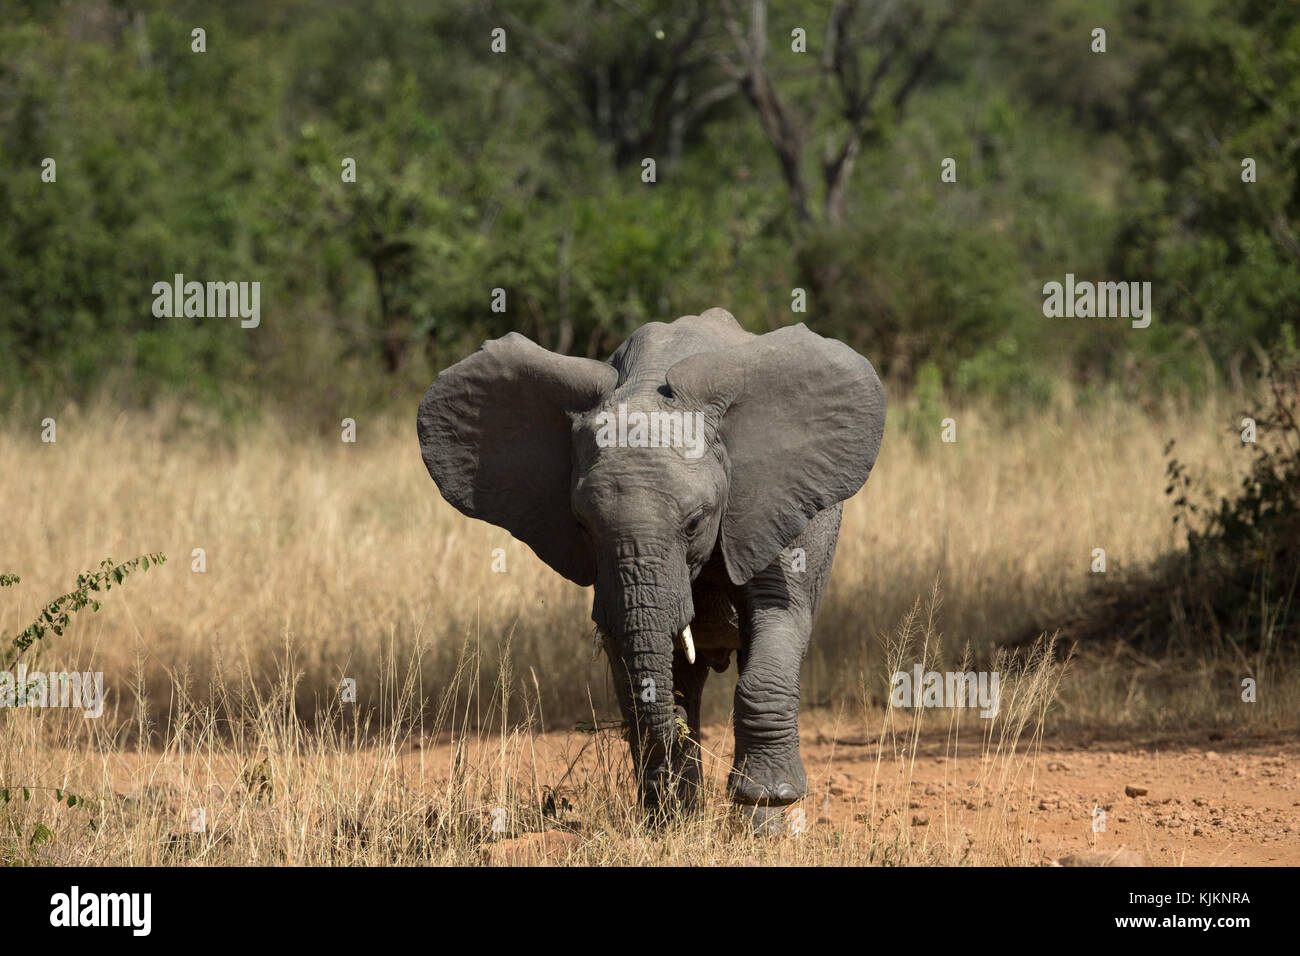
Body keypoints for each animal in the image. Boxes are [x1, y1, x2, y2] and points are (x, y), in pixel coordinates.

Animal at [421, 308, 889, 832]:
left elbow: (778, 618)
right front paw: (667, 817)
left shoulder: (768, 501)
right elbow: (624, 656)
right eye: (582, 525)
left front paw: (766, 807)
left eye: (695, 522)